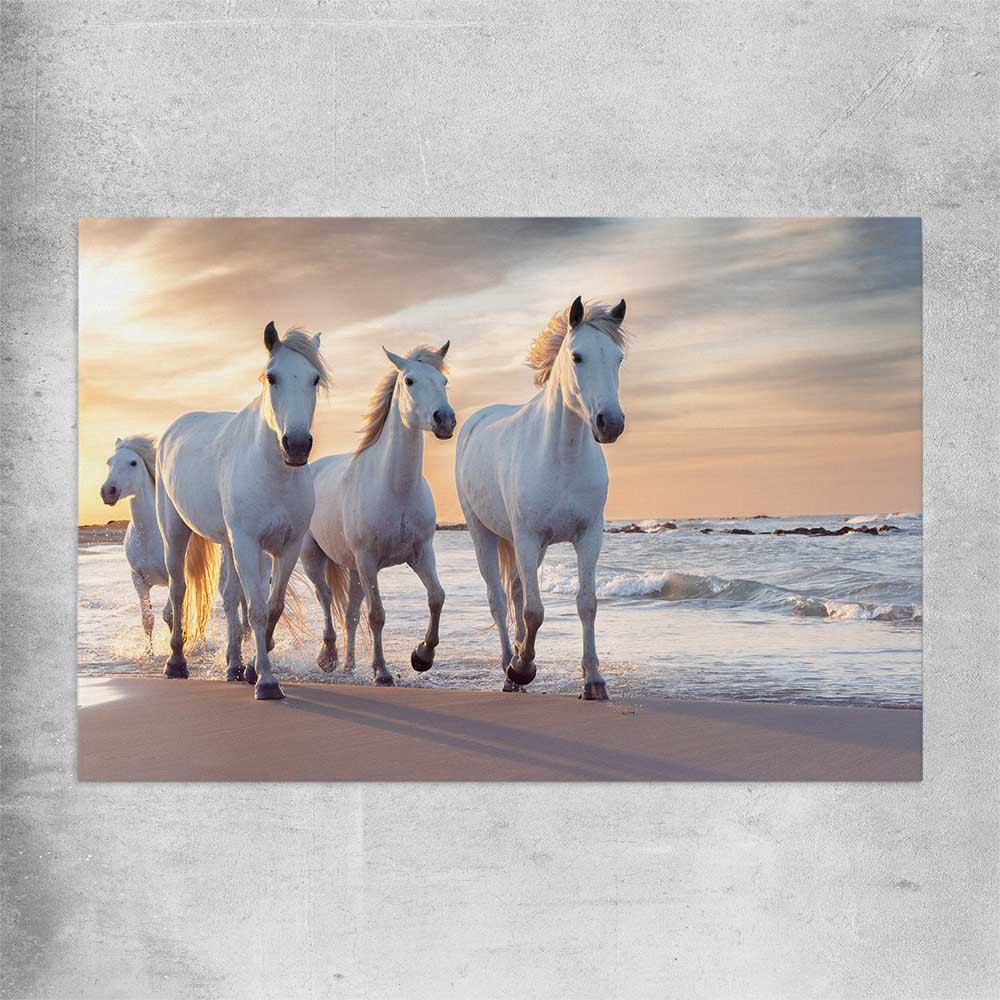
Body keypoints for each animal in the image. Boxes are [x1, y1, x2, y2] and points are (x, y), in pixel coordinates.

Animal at [155, 323, 328, 700]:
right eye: (272, 377)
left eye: (314, 379)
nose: (296, 445)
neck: (273, 473)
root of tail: (172, 431)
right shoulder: (248, 544)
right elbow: (258, 610)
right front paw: (267, 682)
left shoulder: (286, 547)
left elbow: (270, 606)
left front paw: (252, 668)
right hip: (175, 532)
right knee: (178, 590)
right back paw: (176, 663)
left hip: (228, 543)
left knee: (231, 597)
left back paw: (233, 665)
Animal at [299, 342, 455, 686]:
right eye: (409, 381)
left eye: (444, 381)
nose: (445, 420)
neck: (395, 489)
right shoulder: (369, 560)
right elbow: (377, 615)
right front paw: (382, 672)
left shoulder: (421, 554)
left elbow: (437, 597)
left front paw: (422, 656)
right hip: (314, 558)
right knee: (325, 597)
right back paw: (328, 657)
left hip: (354, 570)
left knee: (350, 613)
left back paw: (347, 665)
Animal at [455, 297, 628, 700]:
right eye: (577, 357)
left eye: (618, 358)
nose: (610, 423)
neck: (561, 456)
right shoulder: (527, 537)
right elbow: (534, 611)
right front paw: (522, 668)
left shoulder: (588, 536)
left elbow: (586, 603)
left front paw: (593, 681)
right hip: (483, 534)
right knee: (499, 600)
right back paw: (510, 668)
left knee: (517, 592)